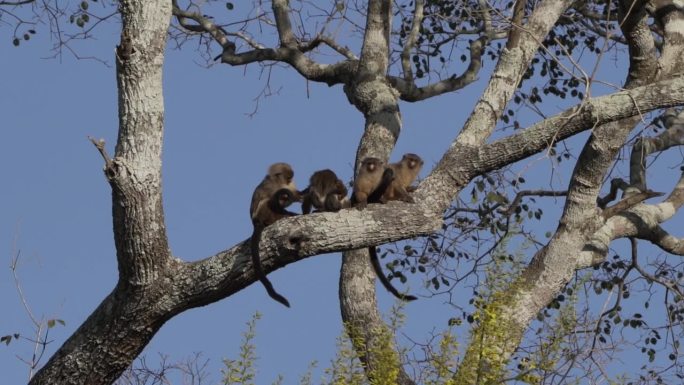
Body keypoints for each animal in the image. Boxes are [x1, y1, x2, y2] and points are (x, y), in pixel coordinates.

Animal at [247, 161, 298, 306]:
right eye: (288, 177)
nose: (290, 181)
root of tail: (256, 222)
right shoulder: (272, 187)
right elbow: (275, 200)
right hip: (263, 213)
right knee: (269, 202)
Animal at [352, 155, 416, 300]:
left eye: (373, 163)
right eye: (368, 163)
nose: (371, 166)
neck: (371, 175)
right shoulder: (361, 179)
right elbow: (360, 192)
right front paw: (362, 201)